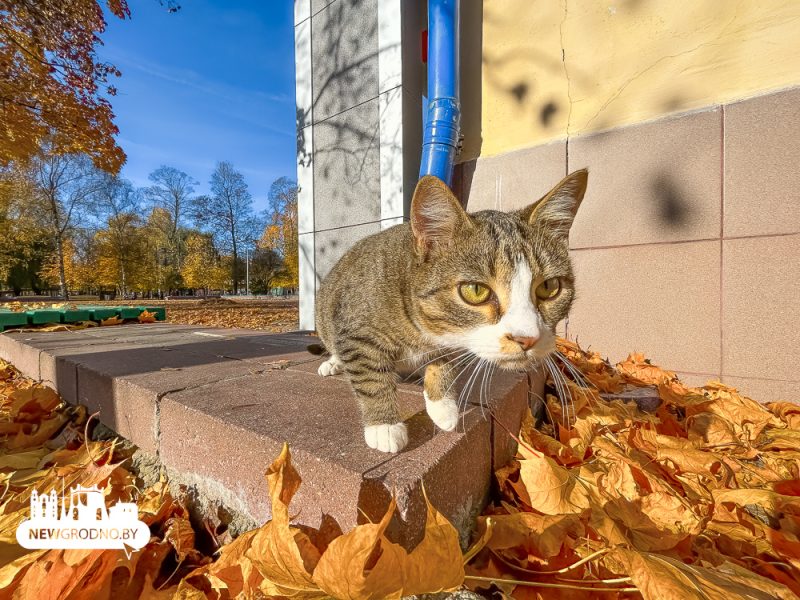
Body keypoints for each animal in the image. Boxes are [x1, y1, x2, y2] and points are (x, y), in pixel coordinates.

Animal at [314, 169, 588, 450]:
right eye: (475, 290)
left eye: (549, 287)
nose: (527, 338)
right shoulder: (357, 329)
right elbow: (370, 376)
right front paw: (384, 426)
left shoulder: (450, 339)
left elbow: (444, 360)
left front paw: (442, 405)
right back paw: (333, 363)